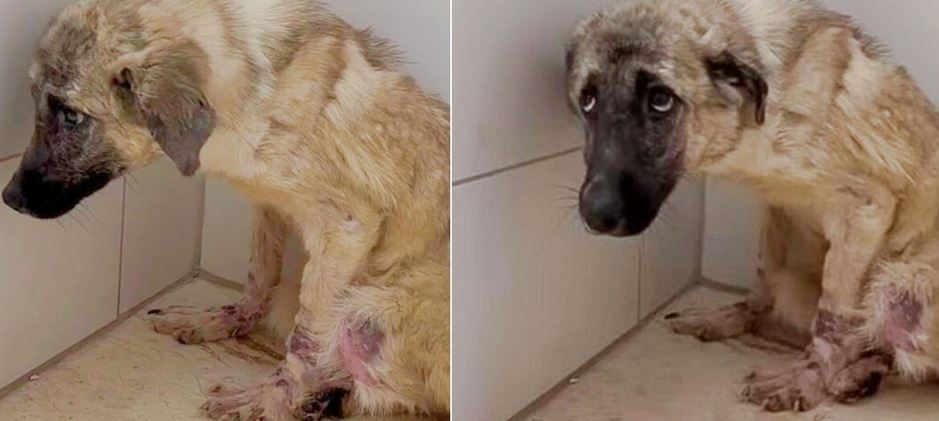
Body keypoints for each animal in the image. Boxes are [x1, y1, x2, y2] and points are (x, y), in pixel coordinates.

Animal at [2, 0, 452, 416]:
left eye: (71, 115)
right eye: (37, 103)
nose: (9, 198)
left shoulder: (346, 227)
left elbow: (304, 343)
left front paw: (270, 400)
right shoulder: (268, 205)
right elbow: (258, 276)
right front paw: (227, 321)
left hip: (364, 314)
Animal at [568, 0, 939, 412]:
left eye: (660, 100)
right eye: (588, 100)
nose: (596, 215)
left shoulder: (865, 209)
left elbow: (832, 320)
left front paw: (807, 378)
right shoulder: (778, 209)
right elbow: (764, 282)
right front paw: (731, 318)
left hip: (898, 287)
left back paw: (853, 375)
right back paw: (857, 373)